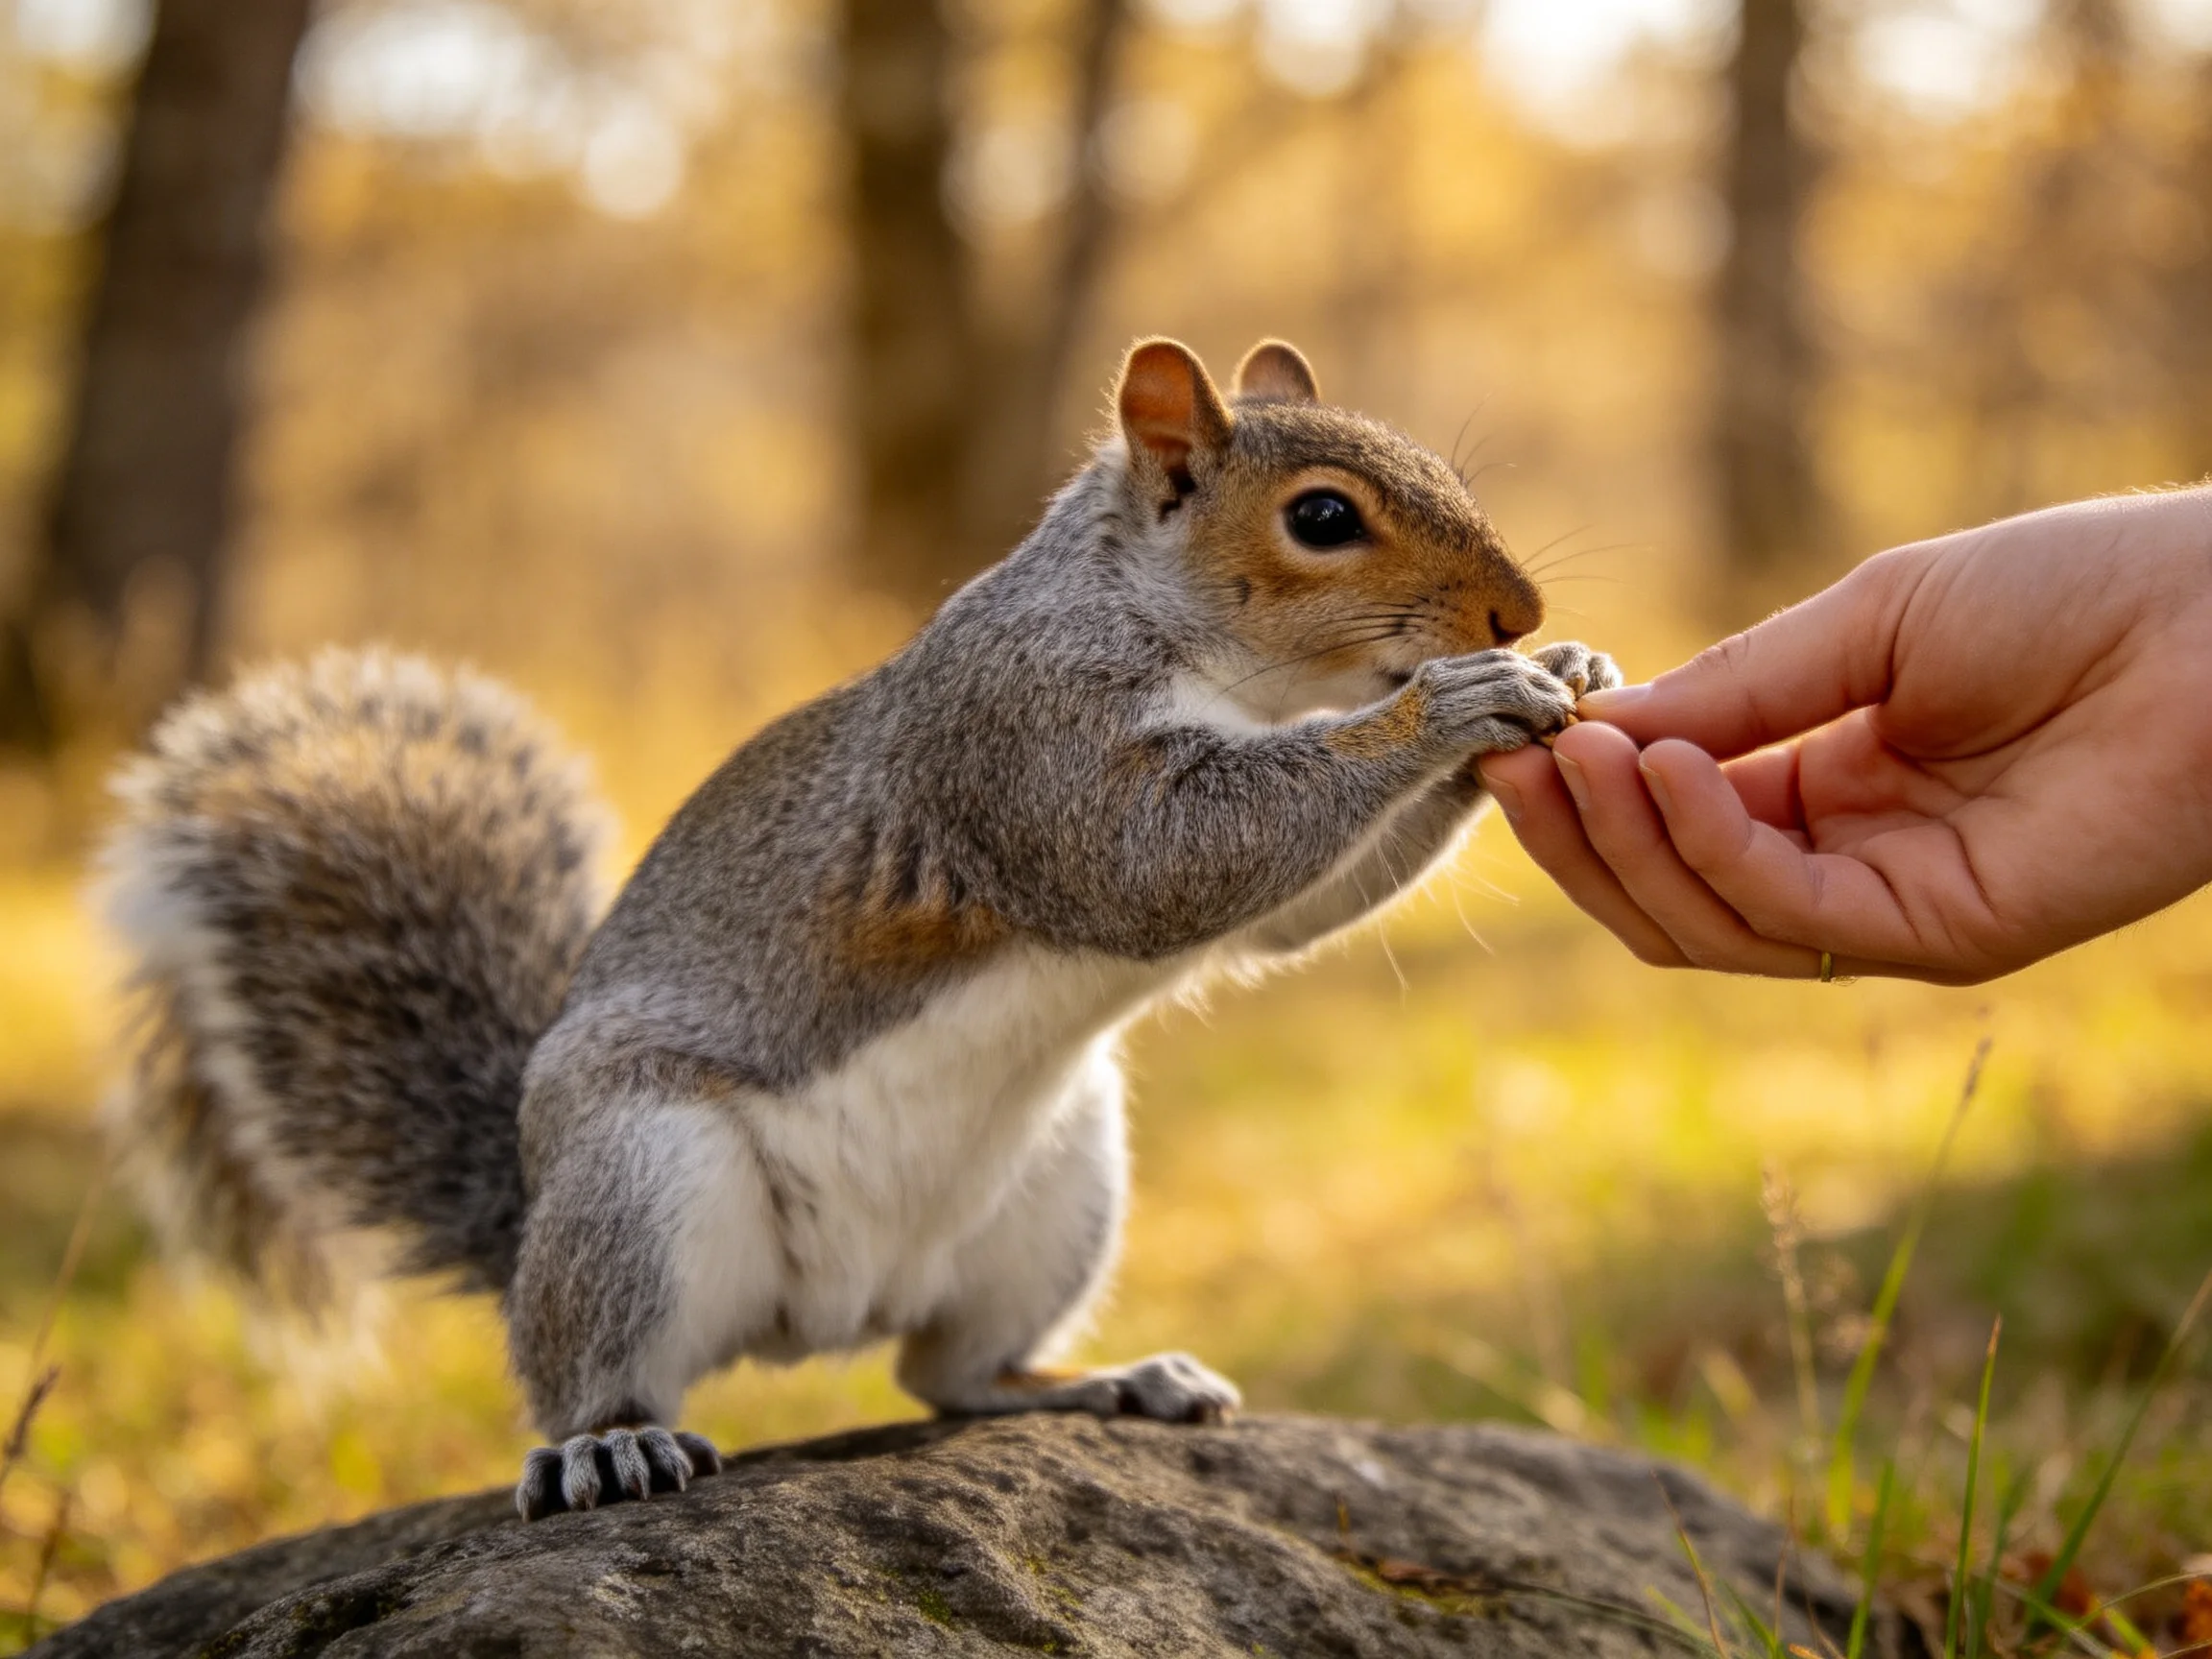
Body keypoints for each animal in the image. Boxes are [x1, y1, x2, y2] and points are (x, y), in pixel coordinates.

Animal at [98, 337, 1619, 1521]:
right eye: (1321, 518)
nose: (1522, 608)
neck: (1211, 658)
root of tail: (825, 1312)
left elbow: (1280, 913)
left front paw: (1568, 670)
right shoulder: (1021, 742)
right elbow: (1170, 864)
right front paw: (1456, 704)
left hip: (1056, 1193)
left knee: (944, 1377)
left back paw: (1105, 1382)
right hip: (639, 1177)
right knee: (596, 1369)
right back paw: (610, 1448)